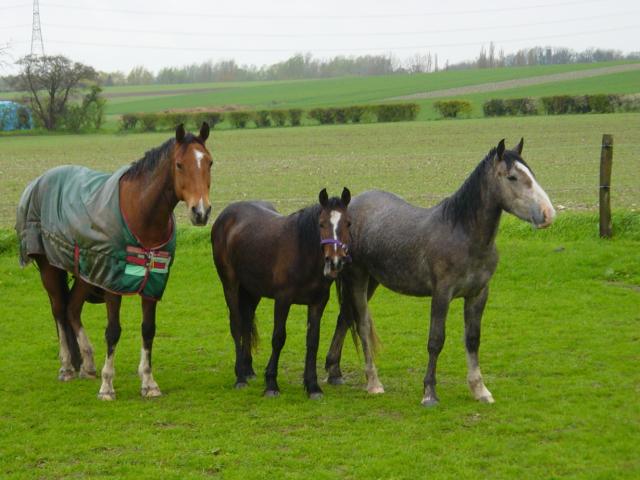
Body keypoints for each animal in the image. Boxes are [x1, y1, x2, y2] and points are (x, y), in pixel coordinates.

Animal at [16, 123, 213, 400]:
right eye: (179, 165)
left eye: (209, 162)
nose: (201, 212)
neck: (142, 212)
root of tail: (37, 182)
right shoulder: (111, 283)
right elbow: (113, 331)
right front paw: (107, 385)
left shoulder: (152, 282)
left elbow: (148, 329)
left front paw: (149, 383)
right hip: (50, 268)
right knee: (59, 311)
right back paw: (67, 367)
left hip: (87, 272)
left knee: (71, 309)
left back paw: (87, 364)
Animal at [212, 188, 351, 399]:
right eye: (321, 223)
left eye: (348, 223)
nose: (335, 261)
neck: (302, 252)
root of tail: (224, 216)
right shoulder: (283, 300)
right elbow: (278, 338)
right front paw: (271, 383)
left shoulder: (318, 303)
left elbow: (313, 341)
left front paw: (312, 386)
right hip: (230, 285)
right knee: (236, 326)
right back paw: (240, 377)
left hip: (252, 290)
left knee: (246, 324)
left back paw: (247, 369)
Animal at [324, 139, 556, 407]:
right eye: (512, 177)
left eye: (532, 174)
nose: (548, 214)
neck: (464, 235)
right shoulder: (442, 294)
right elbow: (436, 341)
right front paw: (429, 393)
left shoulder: (478, 294)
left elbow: (472, 339)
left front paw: (480, 389)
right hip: (358, 278)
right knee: (361, 324)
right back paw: (373, 382)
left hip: (372, 280)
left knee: (345, 318)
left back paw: (334, 371)